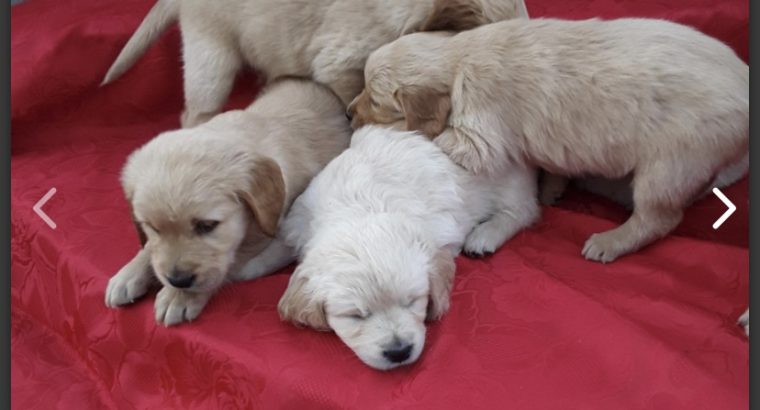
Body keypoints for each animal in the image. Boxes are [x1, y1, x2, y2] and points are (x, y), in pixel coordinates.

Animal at [105, 78, 352, 326]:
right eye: (153, 228)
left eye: (207, 226)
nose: (179, 280)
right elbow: (150, 248)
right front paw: (128, 273)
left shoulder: (276, 229)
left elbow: (230, 261)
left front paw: (179, 297)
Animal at [243, 126, 540, 370]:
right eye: (356, 316)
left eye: (413, 302)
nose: (398, 352)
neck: (360, 206)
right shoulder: (300, 218)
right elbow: (279, 245)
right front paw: (247, 269)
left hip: (508, 185)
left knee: (522, 211)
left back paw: (485, 236)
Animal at [348, 17, 748, 262]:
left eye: (375, 100)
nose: (349, 112)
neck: (459, 60)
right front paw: (553, 186)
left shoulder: (481, 137)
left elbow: (435, 134)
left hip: (671, 163)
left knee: (659, 219)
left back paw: (610, 242)